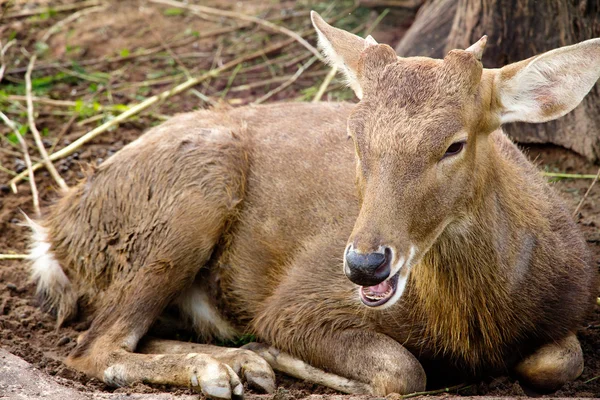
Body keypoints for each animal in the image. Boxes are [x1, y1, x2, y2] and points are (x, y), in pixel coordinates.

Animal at [28, 10, 600, 398]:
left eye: (454, 144)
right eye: (354, 135)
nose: (365, 263)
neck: (475, 323)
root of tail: (52, 233)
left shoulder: (572, 308)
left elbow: (558, 363)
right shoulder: (297, 301)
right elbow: (401, 369)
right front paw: (274, 354)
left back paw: (233, 363)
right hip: (191, 195)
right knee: (93, 347)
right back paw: (222, 367)